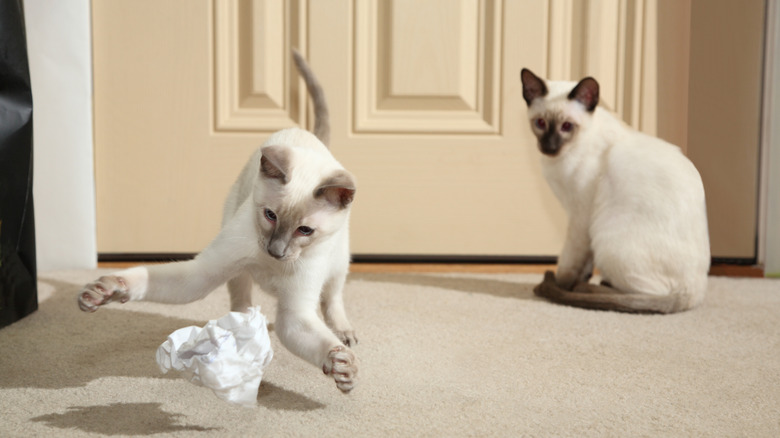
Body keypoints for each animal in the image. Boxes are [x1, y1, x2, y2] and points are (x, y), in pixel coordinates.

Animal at [77, 49, 358, 392]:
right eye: (270, 215)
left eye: (305, 230)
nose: (275, 251)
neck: (272, 266)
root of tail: (309, 136)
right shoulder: (203, 273)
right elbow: (144, 280)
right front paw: (104, 291)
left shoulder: (294, 314)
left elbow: (321, 339)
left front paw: (342, 367)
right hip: (236, 269)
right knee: (241, 299)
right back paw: (243, 333)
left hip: (338, 262)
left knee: (332, 297)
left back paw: (342, 332)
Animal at [520, 68, 708, 314]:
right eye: (540, 123)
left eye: (567, 126)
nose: (549, 147)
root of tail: (693, 294)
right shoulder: (579, 220)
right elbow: (584, 263)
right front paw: (578, 280)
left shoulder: (580, 216)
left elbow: (569, 262)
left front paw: (562, 286)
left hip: (607, 239)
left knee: (644, 295)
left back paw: (586, 289)